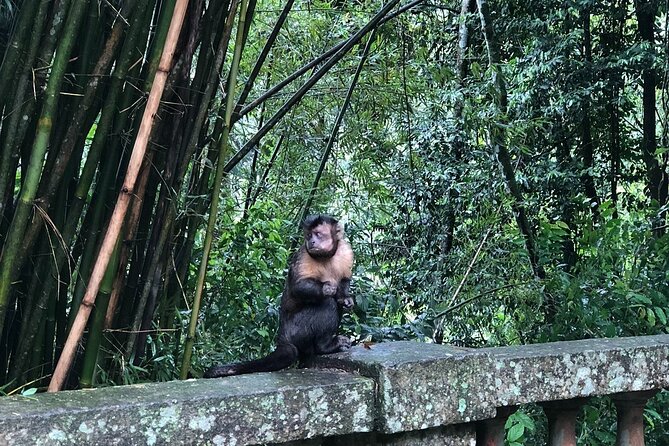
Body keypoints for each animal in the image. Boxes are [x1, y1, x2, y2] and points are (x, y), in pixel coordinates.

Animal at [204, 214, 354, 378]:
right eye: (309, 235)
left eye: (318, 234)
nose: (312, 241)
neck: (326, 256)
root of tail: (282, 337)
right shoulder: (303, 255)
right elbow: (297, 287)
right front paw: (327, 288)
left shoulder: (345, 251)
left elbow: (344, 282)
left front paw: (345, 298)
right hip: (297, 331)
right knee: (327, 303)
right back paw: (324, 346)